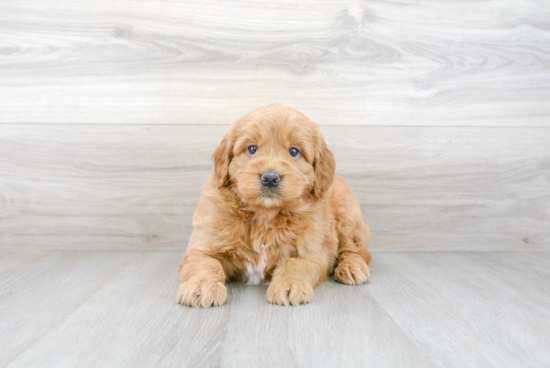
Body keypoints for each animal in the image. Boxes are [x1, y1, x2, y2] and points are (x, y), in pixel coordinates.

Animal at [179, 104, 374, 308]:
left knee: (357, 250)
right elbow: (205, 263)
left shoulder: (311, 252)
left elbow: (295, 264)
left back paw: (352, 267)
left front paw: (289, 284)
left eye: (294, 151)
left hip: (347, 218)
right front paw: (201, 286)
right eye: (252, 148)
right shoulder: (203, 245)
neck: (265, 215)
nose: (270, 178)